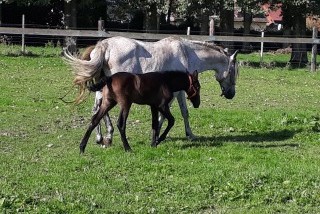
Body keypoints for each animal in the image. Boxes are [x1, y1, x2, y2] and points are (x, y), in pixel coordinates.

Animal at [63, 36, 239, 147]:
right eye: (233, 71)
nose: (231, 95)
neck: (186, 53)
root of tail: (104, 46)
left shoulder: (178, 92)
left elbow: (181, 112)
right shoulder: (176, 93)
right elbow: (174, 114)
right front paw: (164, 135)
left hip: (103, 89)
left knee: (96, 109)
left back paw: (102, 138)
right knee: (100, 109)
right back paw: (106, 136)